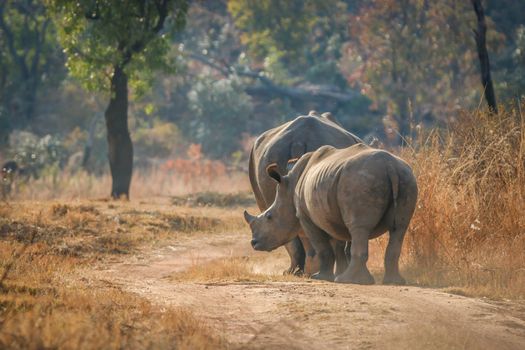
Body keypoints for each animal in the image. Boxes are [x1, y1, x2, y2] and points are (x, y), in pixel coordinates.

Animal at [245, 144, 418, 284]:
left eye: (269, 217)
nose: (254, 243)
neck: (290, 186)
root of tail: (389, 165)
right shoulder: (330, 213)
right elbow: (339, 246)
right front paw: (337, 273)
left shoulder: (306, 218)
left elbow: (323, 248)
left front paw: (321, 277)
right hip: (406, 178)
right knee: (399, 228)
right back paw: (393, 282)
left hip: (359, 181)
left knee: (359, 228)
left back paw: (350, 281)